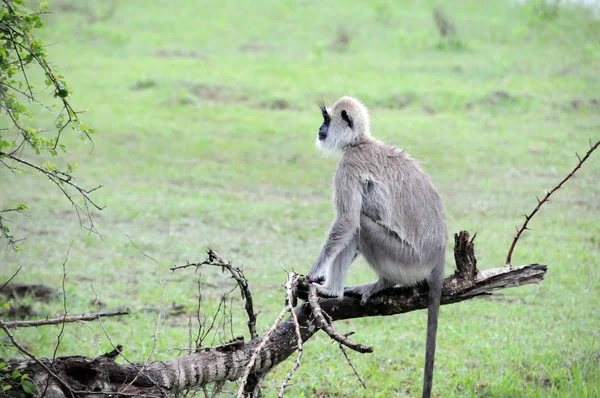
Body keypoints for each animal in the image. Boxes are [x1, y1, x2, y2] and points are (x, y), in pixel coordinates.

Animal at [310, 96, 446, 398]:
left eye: (326, 120)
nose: (319, 130)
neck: (360, 143)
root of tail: (439, 257)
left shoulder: (349, 166)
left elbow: (348, 221)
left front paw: (314, 274)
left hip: (404, 258)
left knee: (360, 223)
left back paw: (369, 285)